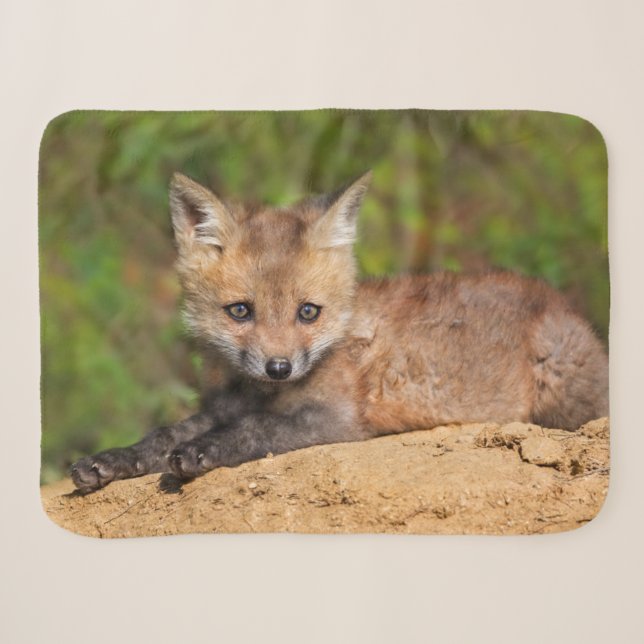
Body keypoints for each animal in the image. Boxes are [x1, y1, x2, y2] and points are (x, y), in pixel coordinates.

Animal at [71, 171, 609, 494]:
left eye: (308, 312)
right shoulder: (221, 406)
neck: (259, 392)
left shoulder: (337, 420)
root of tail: (560, 302)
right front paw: (112, 460)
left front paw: (203, 452)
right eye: (240, 311)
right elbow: (163, 433)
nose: (280, 367)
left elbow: (255, 430)